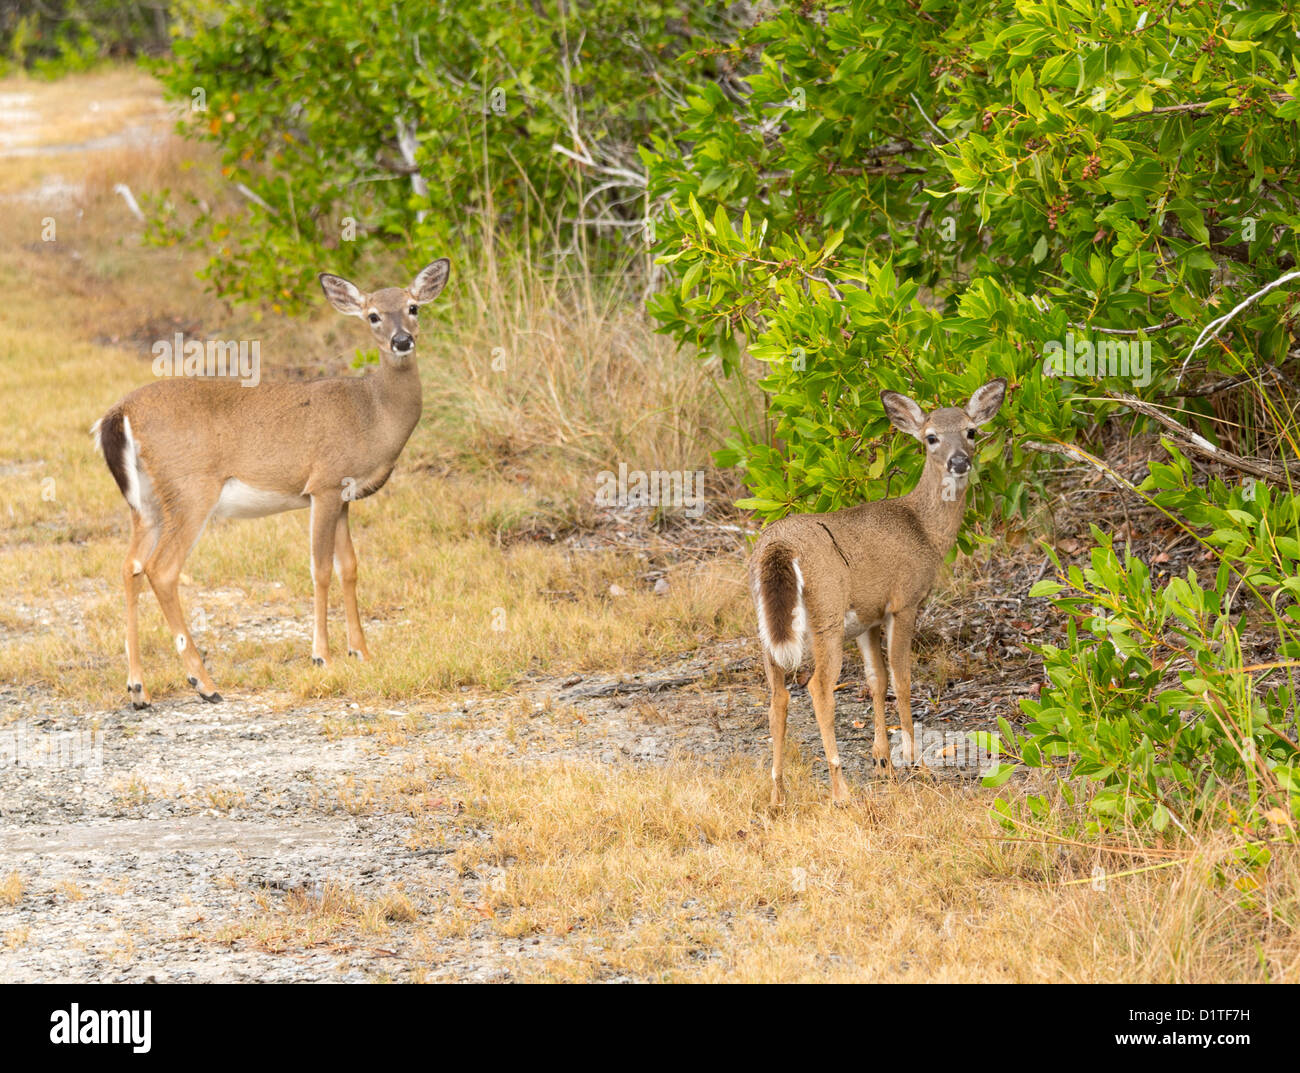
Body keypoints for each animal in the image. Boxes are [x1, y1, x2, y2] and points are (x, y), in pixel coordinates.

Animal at [91, 258, 451, 709]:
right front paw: (322, 656)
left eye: (413, 307)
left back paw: (139, 688)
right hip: (191, 490)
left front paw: (362, 652)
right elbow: (320, 570)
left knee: (130, 567)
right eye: (373, 315)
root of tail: (119, 413)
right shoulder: (324, 484)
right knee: (162, 569)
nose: (402, 341)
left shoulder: (345, 496)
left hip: (148, 503)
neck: (373, 413)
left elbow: (350, 568)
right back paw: (204, 683)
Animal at [750, 378, 1006, 806]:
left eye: (971, 431)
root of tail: (778, 548)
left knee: (777, 697)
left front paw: (882, 762)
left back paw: (777, 794)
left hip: (766, 626)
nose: (959, 462)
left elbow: (876, 680)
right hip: (827, 614)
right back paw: (840, 791)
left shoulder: (867, 618)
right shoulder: (904, 601)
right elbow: (902, 679)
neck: (924, 531)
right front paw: (914, 763)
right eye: (931, 437)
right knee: (818, 687)